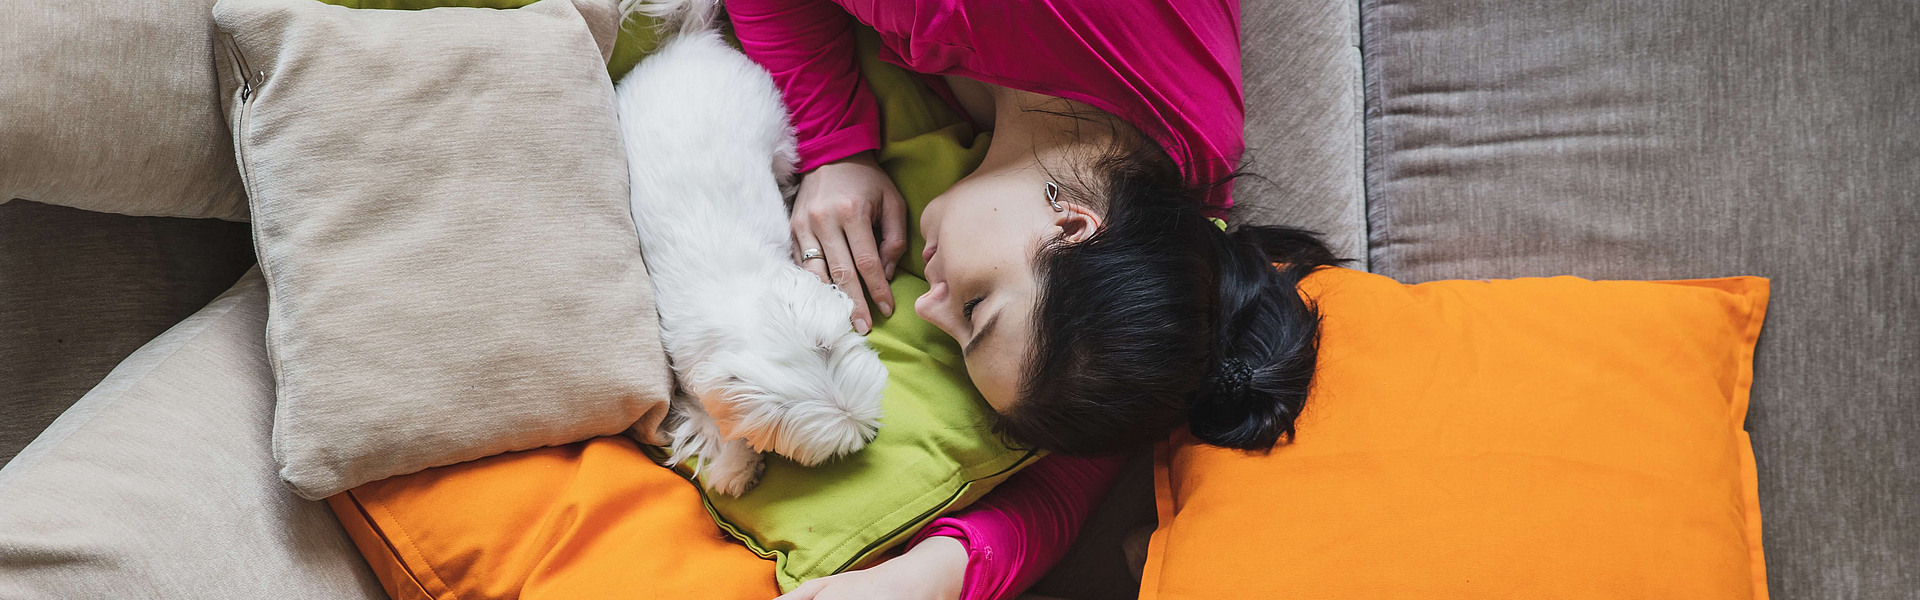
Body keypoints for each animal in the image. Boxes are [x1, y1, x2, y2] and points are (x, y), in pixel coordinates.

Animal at [610, 2, 887, 496]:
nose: (873, 433)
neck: (738, 301)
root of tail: (692, 41)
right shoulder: (692, 371)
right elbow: (711, 419)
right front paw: (737, 465)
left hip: (776, 134)